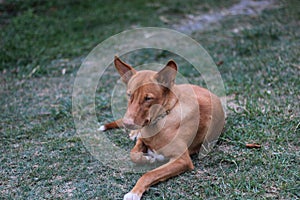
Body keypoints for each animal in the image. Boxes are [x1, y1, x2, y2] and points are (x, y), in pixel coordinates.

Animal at [99, 56, 224, 200]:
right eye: (129, 95)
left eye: (148, 98)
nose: (127, 123)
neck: (159, 121)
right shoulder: (142, 139)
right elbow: (133, 154)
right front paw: (146, 158)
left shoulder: (182, 160)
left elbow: (149, 174)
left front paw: (134, 192)